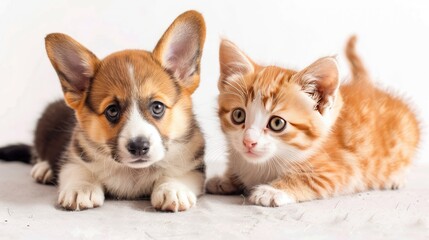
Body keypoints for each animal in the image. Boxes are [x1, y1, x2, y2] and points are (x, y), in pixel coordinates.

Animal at [0, 10, 206, 211]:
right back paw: (44, 168)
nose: (139, 146)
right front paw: (82, 188)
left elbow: (175, 173)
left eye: (157, 107)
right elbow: (79, 170)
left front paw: (173, 189)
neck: (133, 172)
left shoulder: (192, 166)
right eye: (112, 110)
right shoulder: (74, 157)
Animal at [206, 36, 420, 207]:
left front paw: (272, 190)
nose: (248, 142)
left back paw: (396, 177)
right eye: (238, 115)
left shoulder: (340, 170)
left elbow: (307, 179)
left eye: (277, 123)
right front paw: (226, 179)